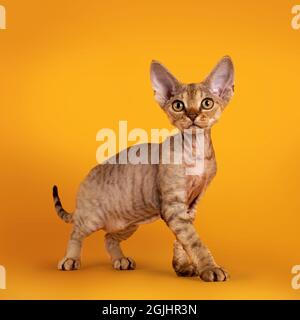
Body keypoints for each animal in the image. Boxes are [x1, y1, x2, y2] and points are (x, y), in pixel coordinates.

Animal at [53, 56, 234, 282]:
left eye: (207, 103)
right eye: (178, 105)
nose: (192, 115)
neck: (197, 150)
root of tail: (86, 178)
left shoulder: (191, 204)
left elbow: (183, 238)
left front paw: (183, 266)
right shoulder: (173, 205)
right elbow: (193, 240)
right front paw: (210, 268)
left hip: (128, 222)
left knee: (108, 237)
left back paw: (120, 260)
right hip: (92, 218)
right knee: (76, 232)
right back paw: (70, 259)